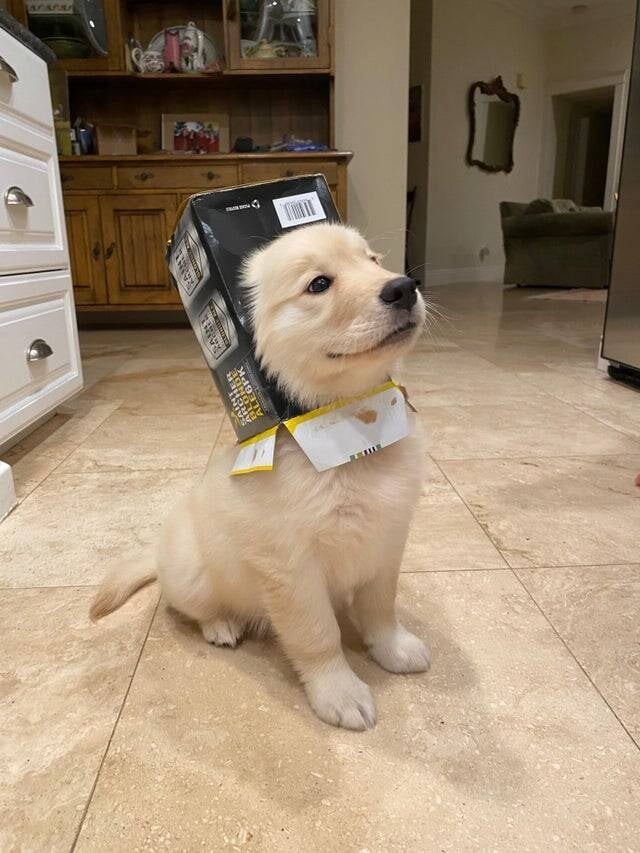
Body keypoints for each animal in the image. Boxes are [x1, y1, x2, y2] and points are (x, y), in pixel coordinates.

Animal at [91, 223, 430, 728]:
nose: (404, 288)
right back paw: (221, 625)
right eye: (319, 284)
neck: (347, 428)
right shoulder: (291, 568)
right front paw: (339, 692)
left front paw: (393, 648)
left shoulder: (386, 540)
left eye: (372, 260)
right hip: (193, 573)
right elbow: (318, 635)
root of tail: (156, 554)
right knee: (188, 606)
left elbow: (380, 608)